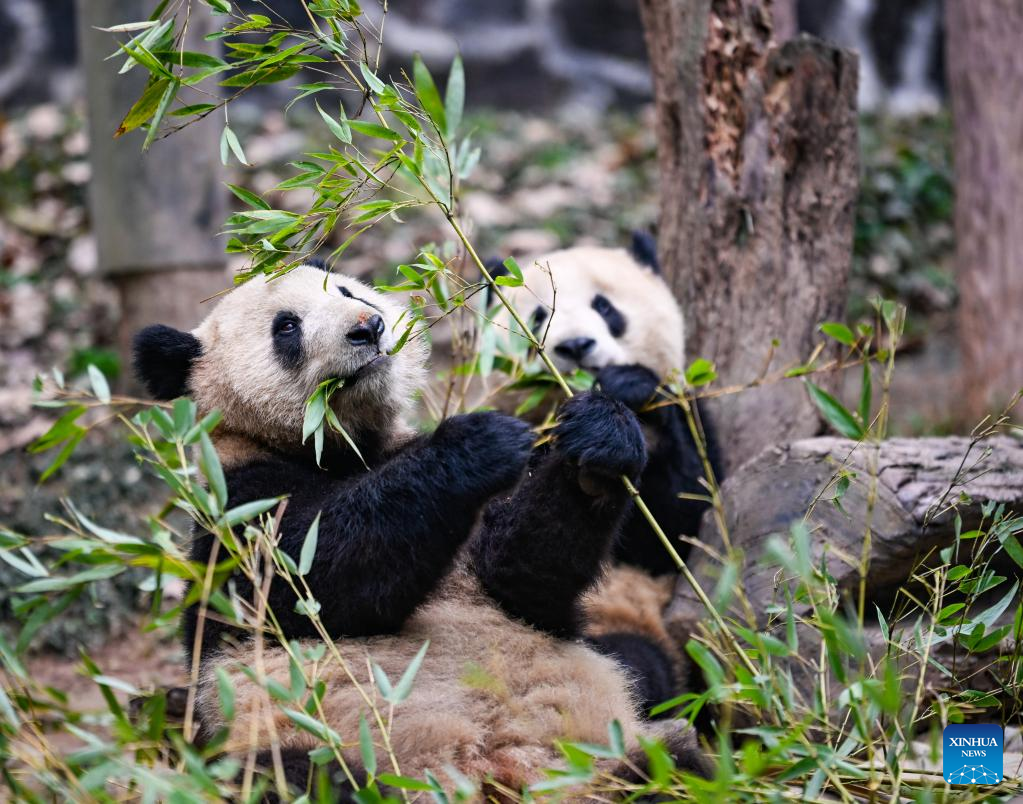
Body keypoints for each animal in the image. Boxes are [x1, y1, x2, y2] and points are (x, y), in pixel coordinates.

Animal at [131, 261, 707, 793]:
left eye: (349, 293)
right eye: (286, 327)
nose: (368, 328)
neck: (339, 445)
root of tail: (495, 776)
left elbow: (521, 576)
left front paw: (600, 440)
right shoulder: (237, 511)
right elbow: (314, 574)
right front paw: (476, 443)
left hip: (605, 753)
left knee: (675, 765)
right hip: (305, 744)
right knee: (300, 778)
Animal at [491, 235, 724, 703]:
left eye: (604, 307)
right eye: (537, 316)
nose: (576, 346)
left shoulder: (692, 416)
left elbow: (687, 518)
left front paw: (620, 407)